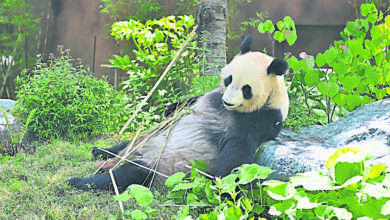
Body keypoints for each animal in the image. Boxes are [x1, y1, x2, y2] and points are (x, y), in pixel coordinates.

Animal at [66, 36, 290, 192]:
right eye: (228, 79)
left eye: (246, 89)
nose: (227, 101)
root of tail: (126, 157)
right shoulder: (212, 96)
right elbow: (188, 102)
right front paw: (169, 108)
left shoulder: (259, 119)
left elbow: (236, 155)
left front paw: (223, 187)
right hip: (146, 139)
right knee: (128, 143)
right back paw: (100, 151)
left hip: (160, 166)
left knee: (127, 175)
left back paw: (79, 181)